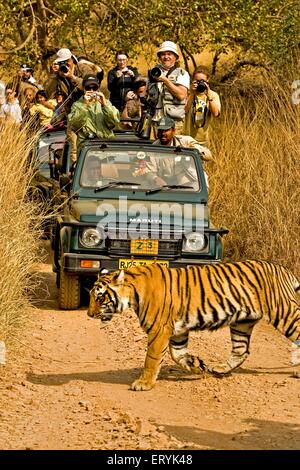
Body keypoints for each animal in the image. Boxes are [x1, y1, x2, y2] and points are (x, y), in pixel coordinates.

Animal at [87, 260, 300, 390]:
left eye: (100, 297)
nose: (89, 314)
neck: (133, 294)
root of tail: (283, 269)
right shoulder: (177, 331)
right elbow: (177, 354)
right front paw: (197, 366)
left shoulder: (159, 330)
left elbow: (152, 359)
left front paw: (144, 383)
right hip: (242, 323)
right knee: (242, 350)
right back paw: (220, 369)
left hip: (283, 312)